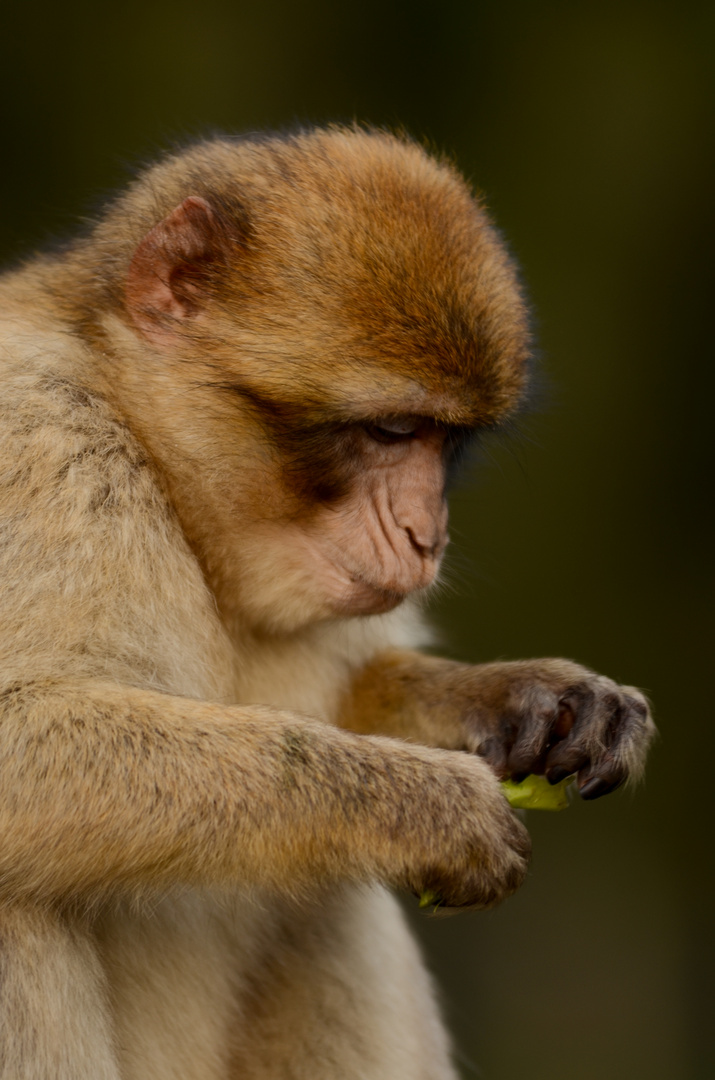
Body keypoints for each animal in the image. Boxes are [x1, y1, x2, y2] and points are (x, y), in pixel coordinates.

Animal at [0, 128, 656, 1080]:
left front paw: (528, 697)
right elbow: (18, 730)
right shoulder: (37, 443)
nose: (426, 534)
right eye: (390, 431)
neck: (152, 460)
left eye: (443, 442)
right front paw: (422, 807)